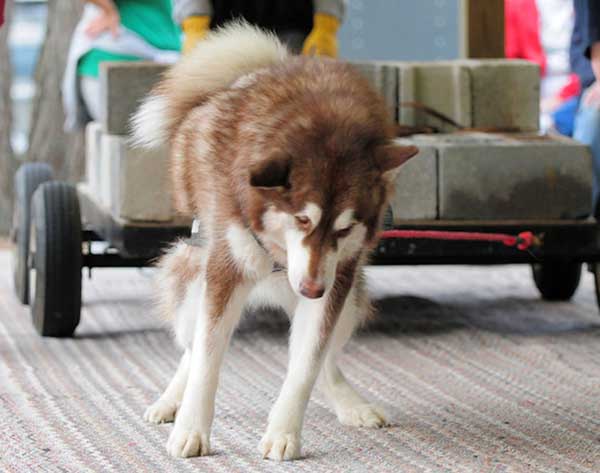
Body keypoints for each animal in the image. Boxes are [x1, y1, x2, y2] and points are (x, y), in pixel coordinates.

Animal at [131, 20, 418, 460]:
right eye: (301, 219)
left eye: (344, 228)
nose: (312, 289)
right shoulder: (225, 270)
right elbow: (207, 361)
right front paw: (192, 429)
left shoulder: (338, 278)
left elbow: (306, 365)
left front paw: (285, 433)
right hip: (191, 286)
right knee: (191, 349)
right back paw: (171, 399)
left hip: (349, 301)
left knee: (326, 359)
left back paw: (349, 402)